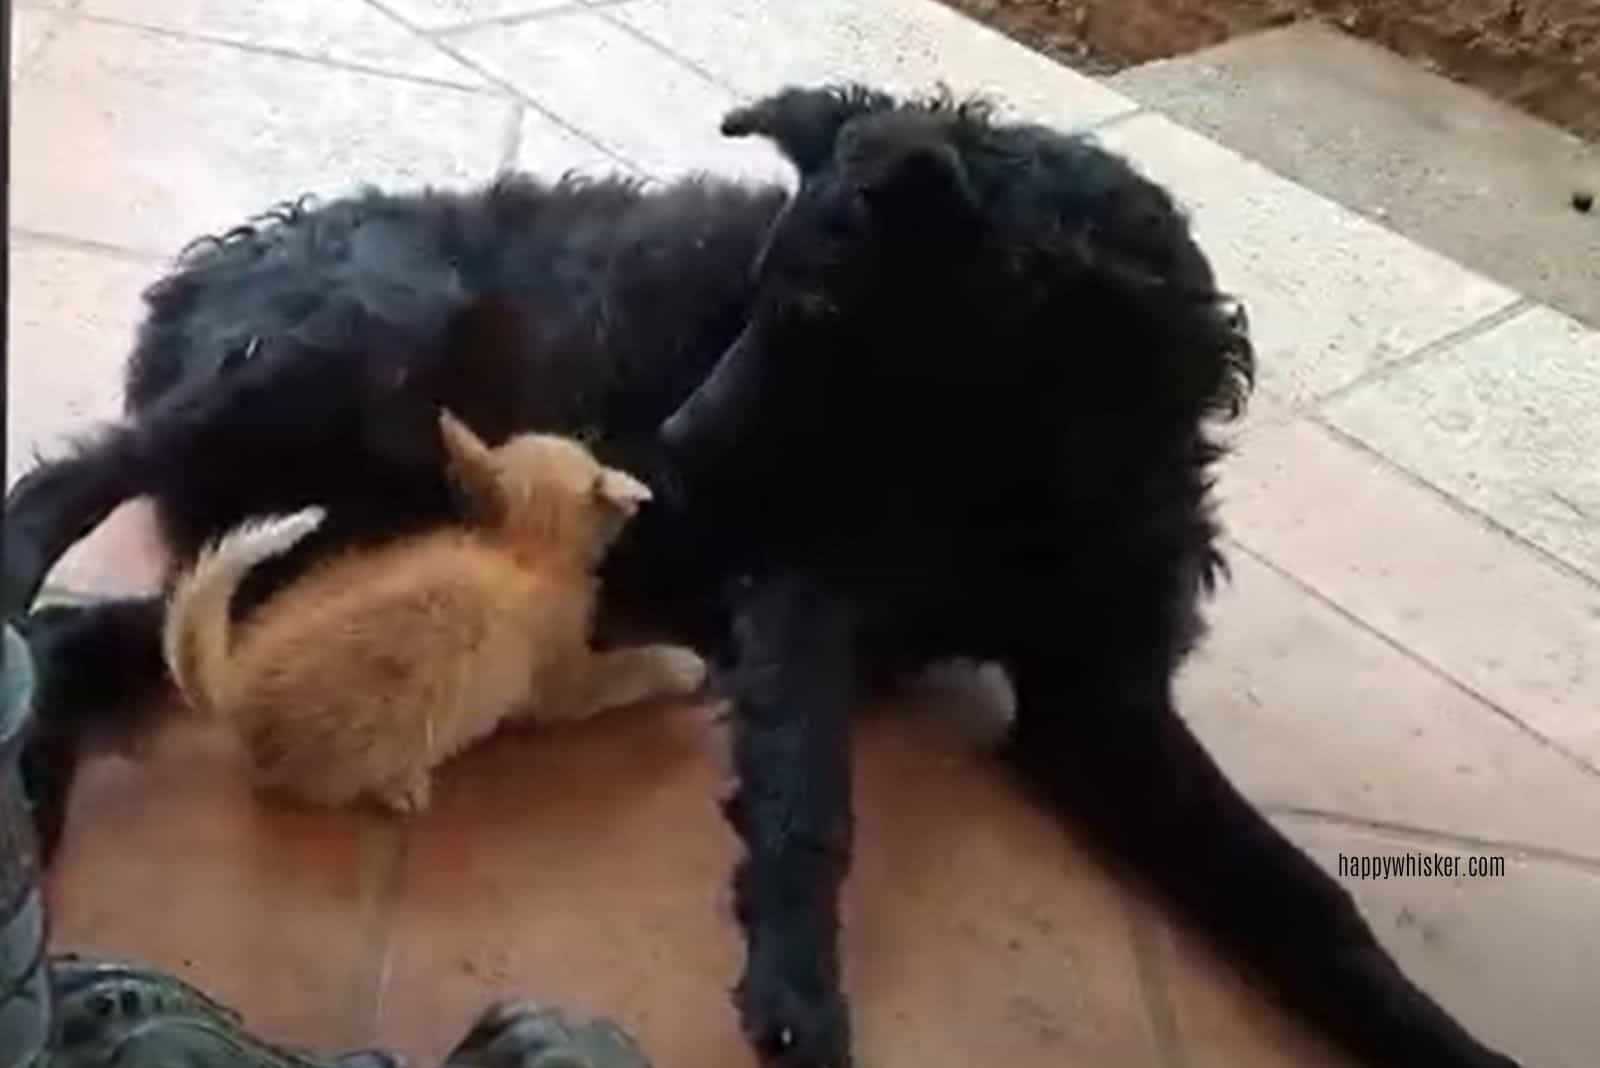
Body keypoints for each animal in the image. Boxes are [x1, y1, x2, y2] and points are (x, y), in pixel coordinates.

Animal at [162, 409, 707, 808]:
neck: (521, 549)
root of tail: (235, 688)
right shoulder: (564, 683)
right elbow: (623, 671)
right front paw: (678, 664)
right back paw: (398, 786)